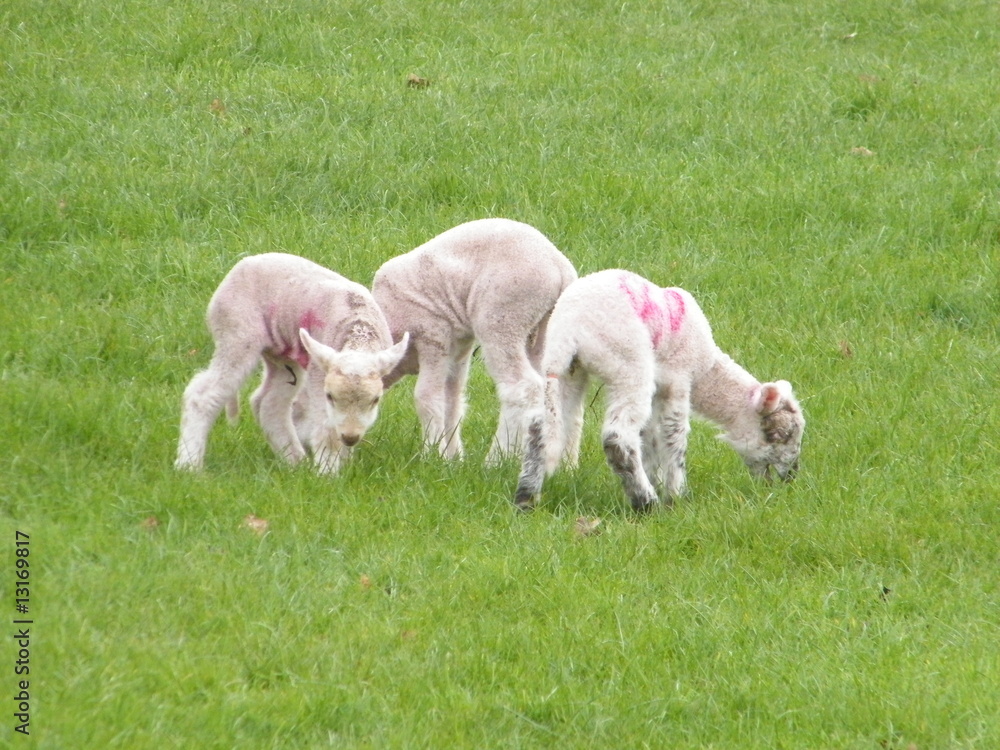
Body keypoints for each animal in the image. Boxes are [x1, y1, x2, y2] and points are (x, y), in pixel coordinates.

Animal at [175, 253, 409, 474]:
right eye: (329, 396)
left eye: (376, 400)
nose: (350, 437)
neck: (358, 333)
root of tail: (243, 264)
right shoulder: (319, 375)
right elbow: (327, 430)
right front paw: (328, 475)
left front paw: (343, 461)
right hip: (236, 331)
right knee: (204, 395)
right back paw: (188, 465)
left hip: (282, 353)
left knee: (270, 403)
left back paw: (295, 463)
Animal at [371, 218, 578, 464]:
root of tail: (559, 266)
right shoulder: (458, 346)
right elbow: (452, 400)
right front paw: (452, 458)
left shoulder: (433, 334)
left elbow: (427, 397)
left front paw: (432, 455)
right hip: (546, 326)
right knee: (557, 389)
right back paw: (565, 463)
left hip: (503, 317)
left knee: (521, 387)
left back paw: (498, 458)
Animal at [514, 269, 805, 512]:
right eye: (779, 434)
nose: (790, 477)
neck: (707, 368)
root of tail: (570, 330)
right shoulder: (678, 378)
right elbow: (674, 435)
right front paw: (675, 495)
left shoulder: (660, 388)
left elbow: (649, 436)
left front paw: (656, 478)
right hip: (629, 363)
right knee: (618, 437)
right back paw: (645, 503)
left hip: (564, 370)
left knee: (540, 427)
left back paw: (526, 497)